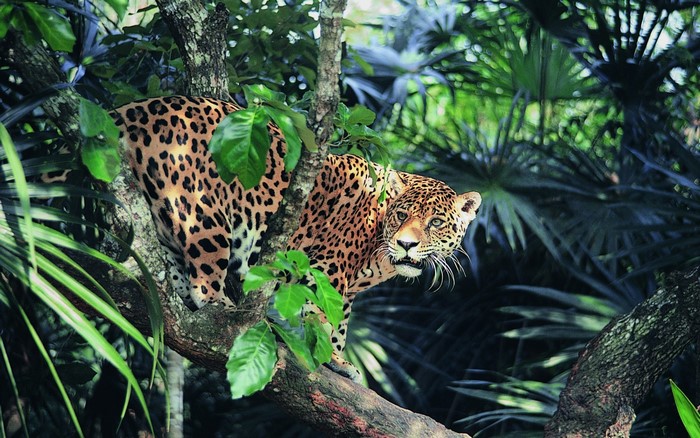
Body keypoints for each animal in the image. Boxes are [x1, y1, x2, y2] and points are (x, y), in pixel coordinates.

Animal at [112, 95, 481, 381]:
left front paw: (338, 357)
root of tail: (132, 109)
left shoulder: (348, 288)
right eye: (402, 216)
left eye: (435, 222)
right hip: (203, 216)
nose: (406, 244)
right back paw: (228, 313)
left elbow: (341, 323)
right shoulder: (330, 266)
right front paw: (334, 359)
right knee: (204, 289)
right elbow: (325, 316)